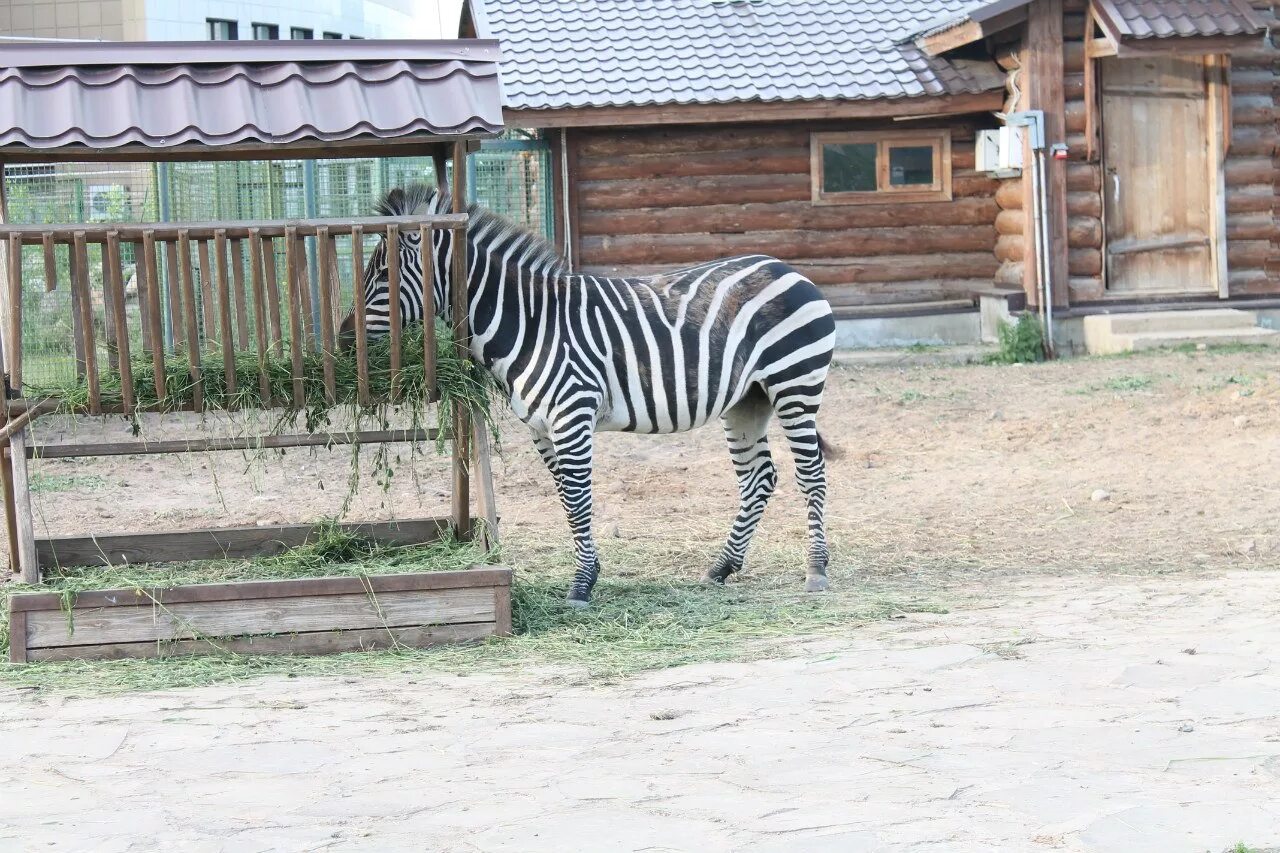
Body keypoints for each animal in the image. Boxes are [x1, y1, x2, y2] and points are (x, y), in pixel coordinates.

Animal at [340, 184, 839, 604]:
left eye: (381, 275)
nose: (344, 343)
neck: (529, 322)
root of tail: (787, 268)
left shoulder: (572, 414)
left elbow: (579, 500)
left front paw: (581, 586)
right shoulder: (541, 427)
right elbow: (566, 498)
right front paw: (590, 573)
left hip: (794, 384)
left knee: (811, 473)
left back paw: (816, 571)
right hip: (746, 400)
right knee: (759, 478)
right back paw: (722, 567)